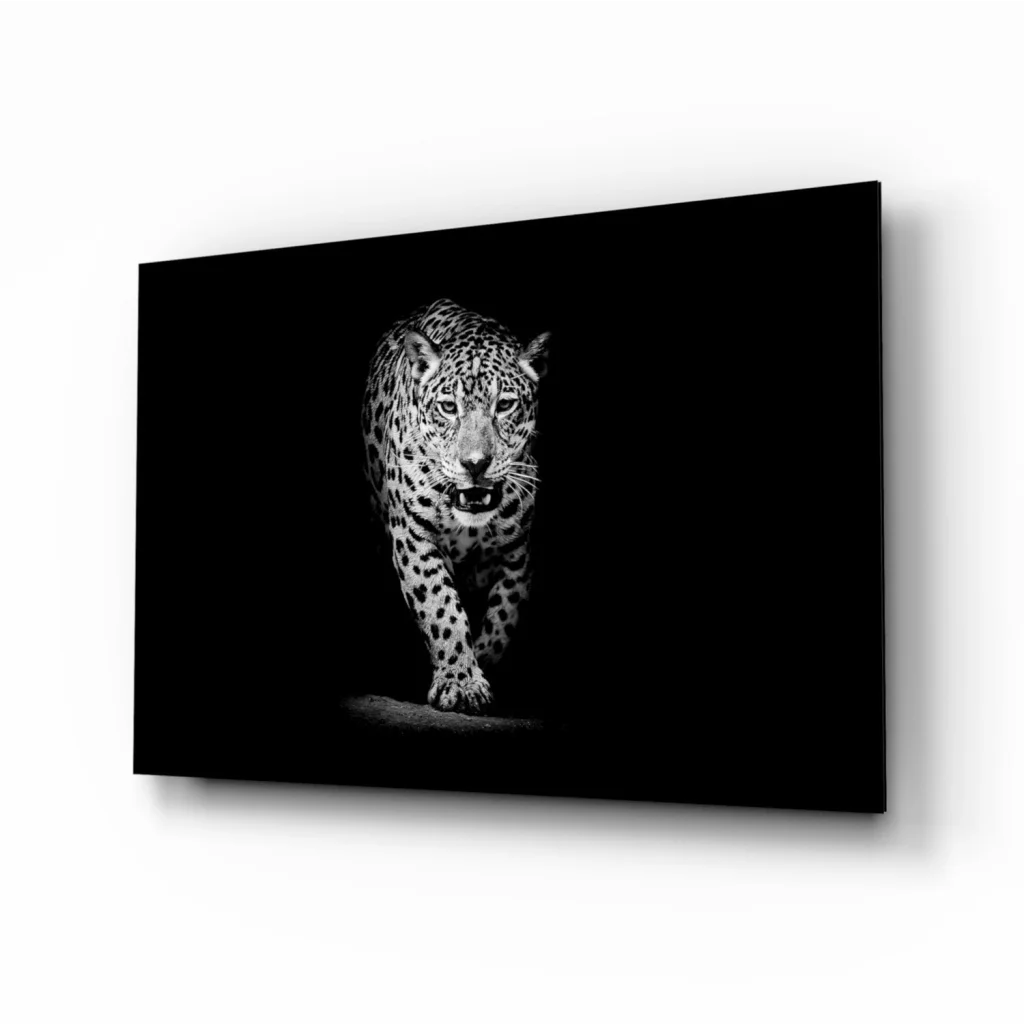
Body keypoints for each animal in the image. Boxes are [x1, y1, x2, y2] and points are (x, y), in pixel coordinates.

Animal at [361, 297, 551, 714]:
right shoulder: (414, 537)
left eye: (505, 405)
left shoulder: (518, 553)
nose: (475, 464)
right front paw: (461, 682)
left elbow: (503, 618)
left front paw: (479, 667)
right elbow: (441, 607)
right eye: (448, 407)